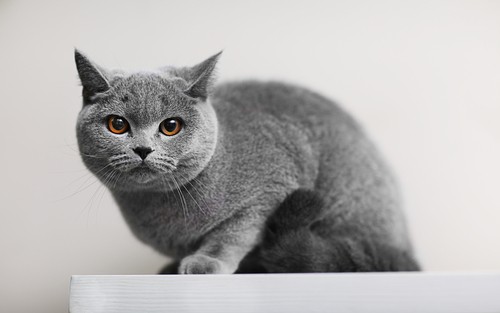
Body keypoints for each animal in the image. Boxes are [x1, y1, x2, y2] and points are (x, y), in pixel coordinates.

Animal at [74, 50, 418, 272]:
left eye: (171, 126)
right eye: (118, 125)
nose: (143, 149)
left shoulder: (270, 190)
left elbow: (233, 234)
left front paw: (205, 262)